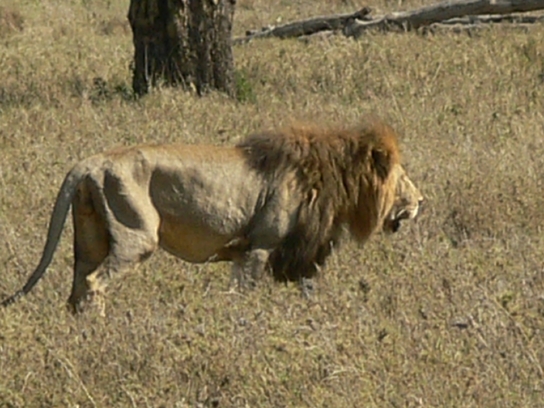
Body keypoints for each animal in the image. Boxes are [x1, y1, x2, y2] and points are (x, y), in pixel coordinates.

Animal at [1, 118, 423, 315]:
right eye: (402, 176)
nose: (421, 199)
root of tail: (91, 162)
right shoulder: (260, 246)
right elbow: (245, 294)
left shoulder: (295, 251)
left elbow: (307, 291)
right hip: (136, 236)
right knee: (93, 283)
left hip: (89, 237)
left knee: (76, 286)